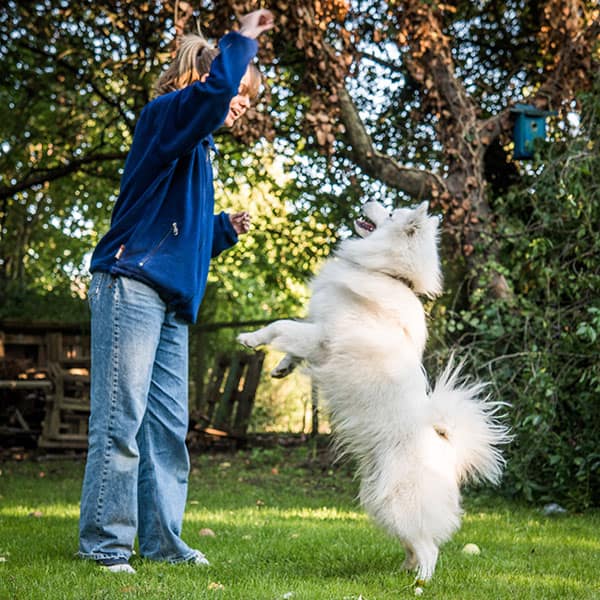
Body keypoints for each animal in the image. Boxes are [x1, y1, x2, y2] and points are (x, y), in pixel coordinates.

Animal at [237, 200, 508, 580]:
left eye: (392, 213)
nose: (369, 201)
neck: (388, 273)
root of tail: (447, 444)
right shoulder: (315, 338)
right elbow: (291, 341)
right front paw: (282, 367)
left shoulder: (321, 336)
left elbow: (280, 326)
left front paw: (250, 338)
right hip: (378, 499)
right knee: (414, 544)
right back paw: (402, 572)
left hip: (399, 501)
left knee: (430, 548)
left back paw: (420, 584)